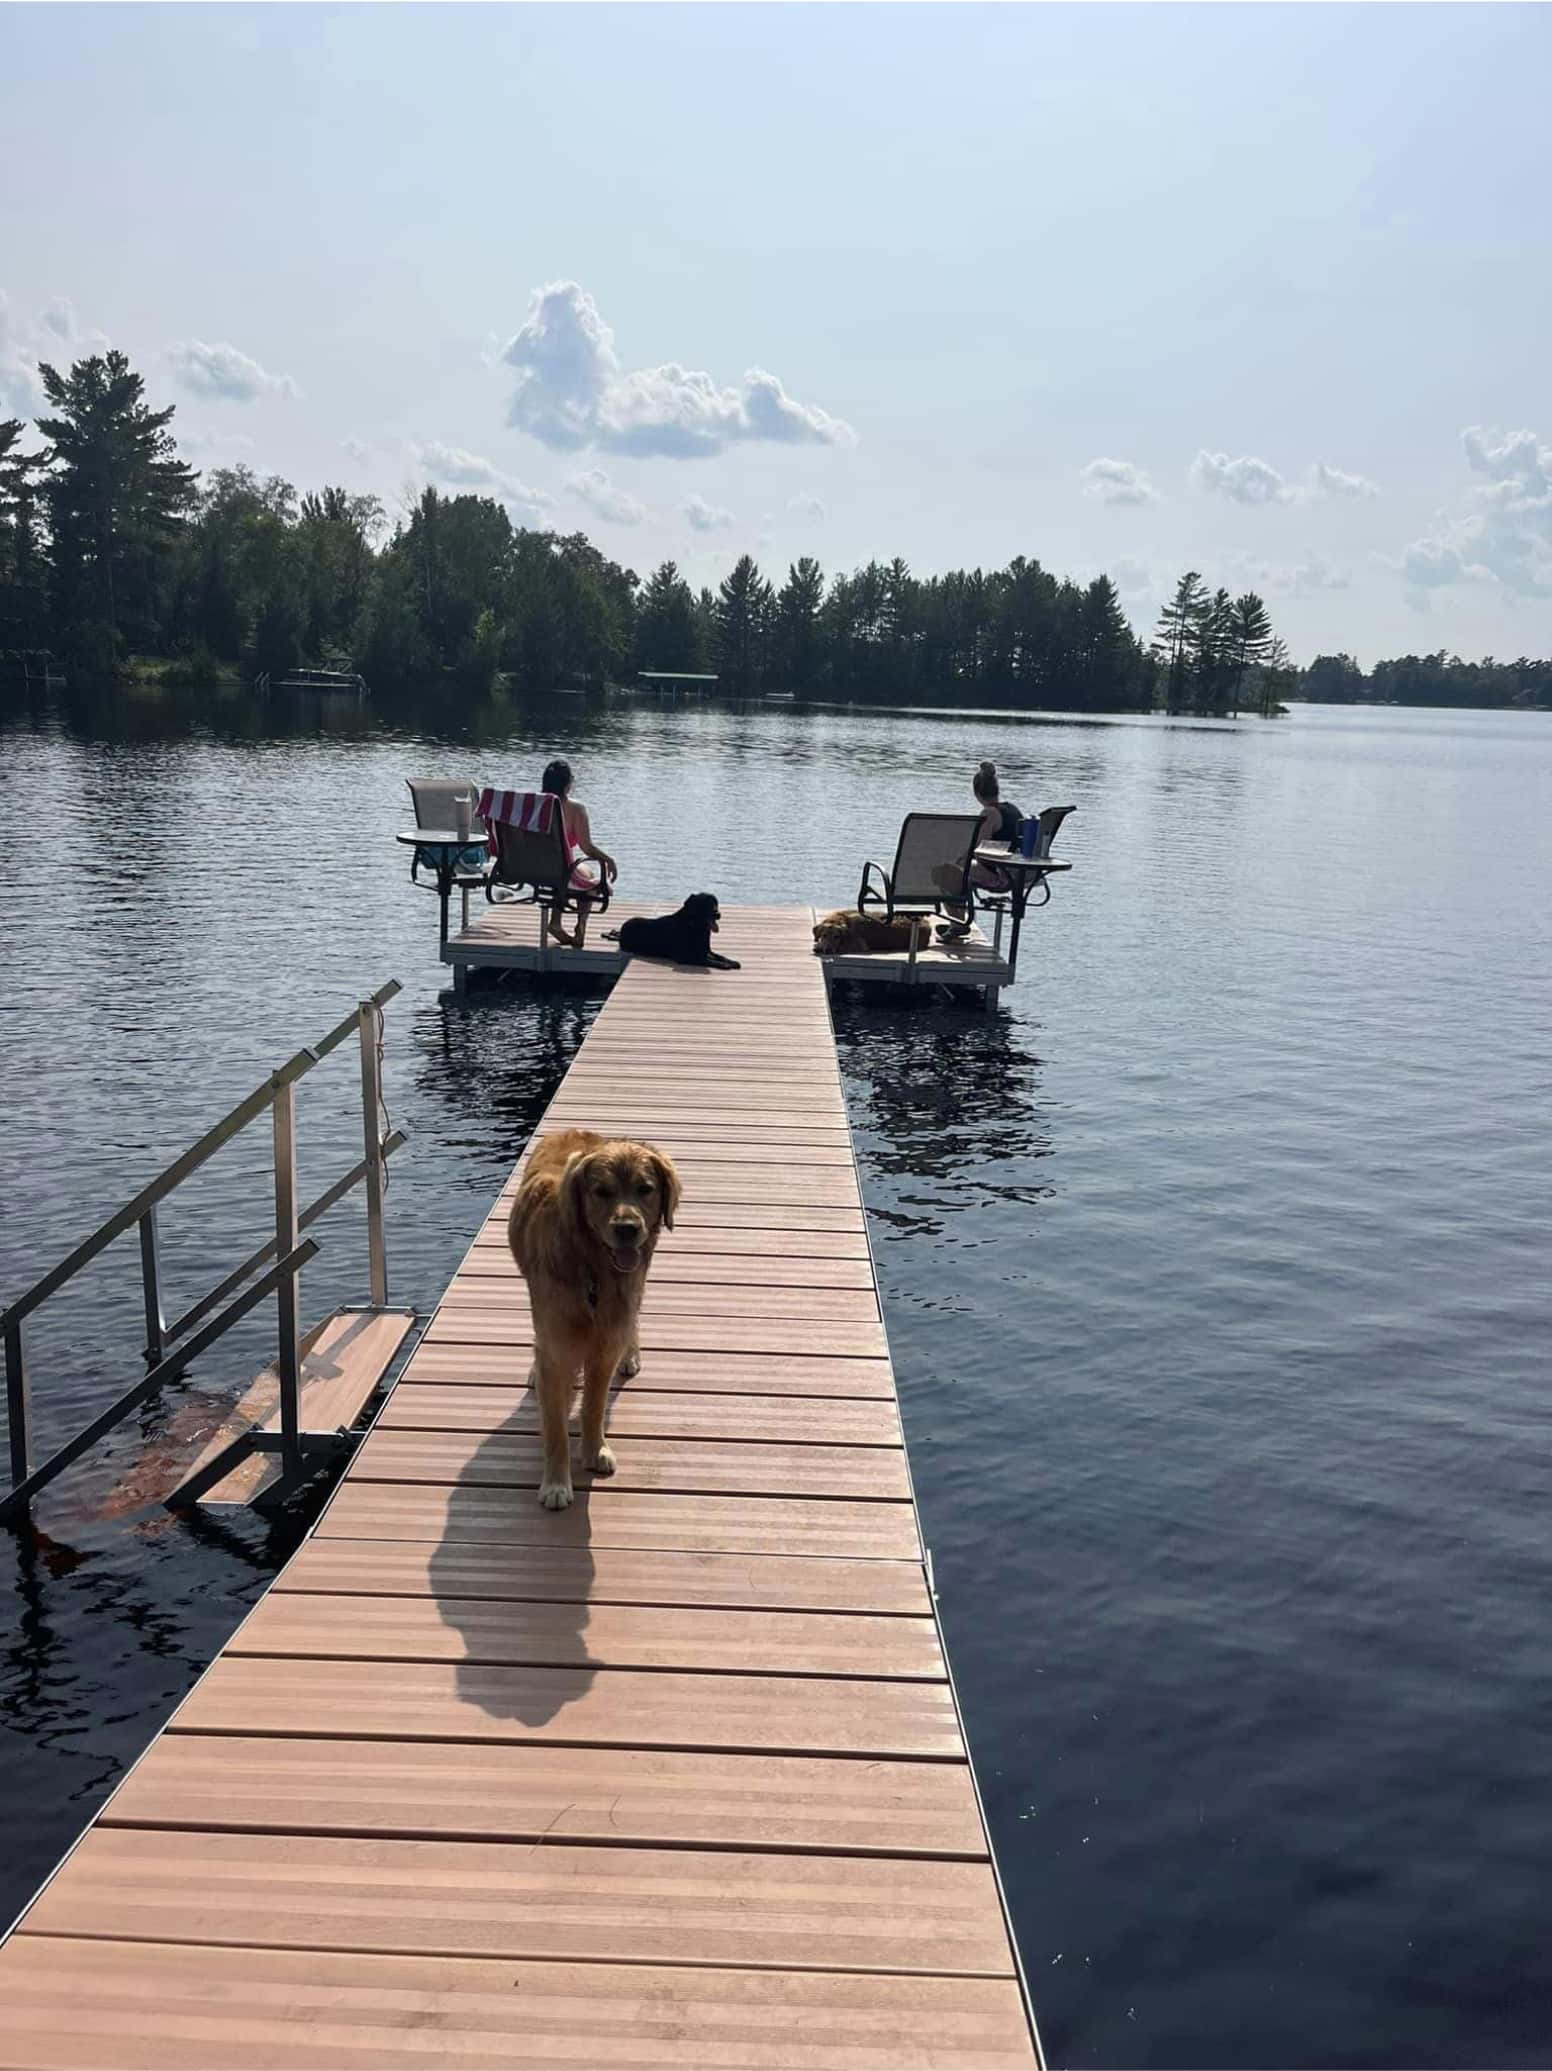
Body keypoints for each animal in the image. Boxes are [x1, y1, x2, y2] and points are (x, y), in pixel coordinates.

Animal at [507, 1134, 679, 1507]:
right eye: (601, 1191)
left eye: (645, 1189)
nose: (627, 1229)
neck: (593, 1268)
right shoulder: (556, 1347)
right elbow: (555, 1425)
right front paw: (557, 1483)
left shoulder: (604, 1347)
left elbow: (593, 1407)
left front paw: (594, 1450)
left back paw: (631, 1355)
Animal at [600, 894, 737, 965]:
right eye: (706, 904)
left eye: (715, 903)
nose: (718, 914)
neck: (694, 926)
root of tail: (622, 928)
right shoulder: (685, 956)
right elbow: (709, 961)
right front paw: (725, 965)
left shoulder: (706, 950)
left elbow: (720, 956)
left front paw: (732, 961)